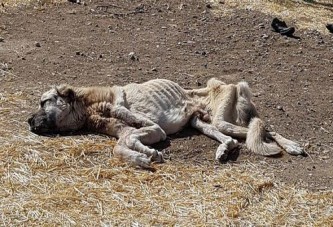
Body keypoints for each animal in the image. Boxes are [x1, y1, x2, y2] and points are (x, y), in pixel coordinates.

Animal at [27, 78, 304, 168]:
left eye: (43, 102)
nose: (28, 121)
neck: (90, 106)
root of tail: (231, 84)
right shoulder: (129, 134)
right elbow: (119, 147)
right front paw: (142, 155)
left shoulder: (155, 129)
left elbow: (127, 132)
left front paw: (146, 153)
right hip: (203, 124)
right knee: (232, 140)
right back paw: (223, 151)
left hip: (222, 119)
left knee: (266, 129)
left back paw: (293, 146)